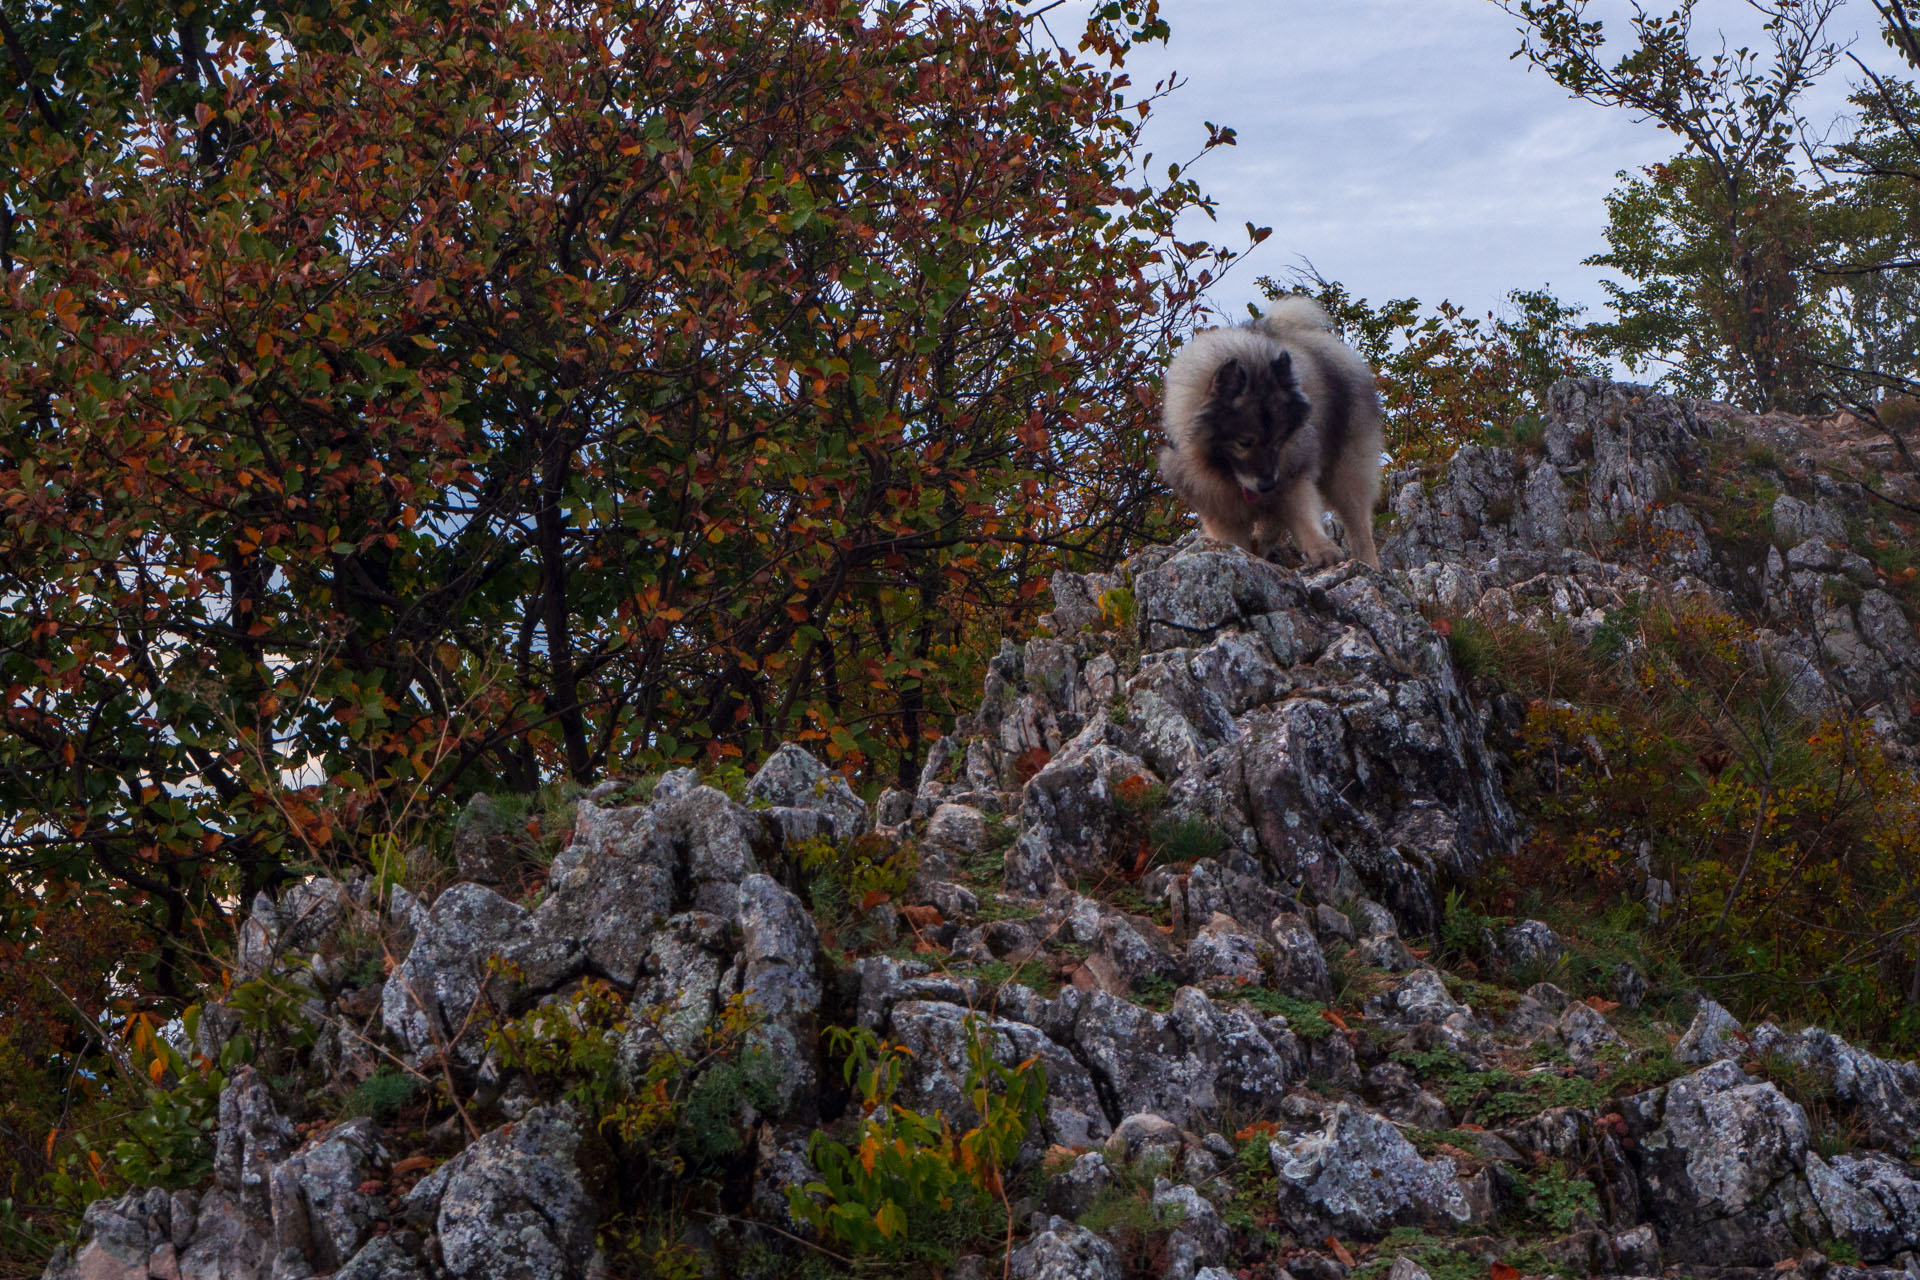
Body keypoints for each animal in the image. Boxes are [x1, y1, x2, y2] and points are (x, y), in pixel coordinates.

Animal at [1152, 297, 1382, 568]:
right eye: (1244, 443)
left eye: (1278, 441)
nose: (1267, 484)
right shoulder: (1218, 505)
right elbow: (1235, 538)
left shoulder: (1293, 474)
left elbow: (1303, 515)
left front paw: (1322, 550)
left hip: (1346, 470)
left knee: (1358, 524)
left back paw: (1368, 564)